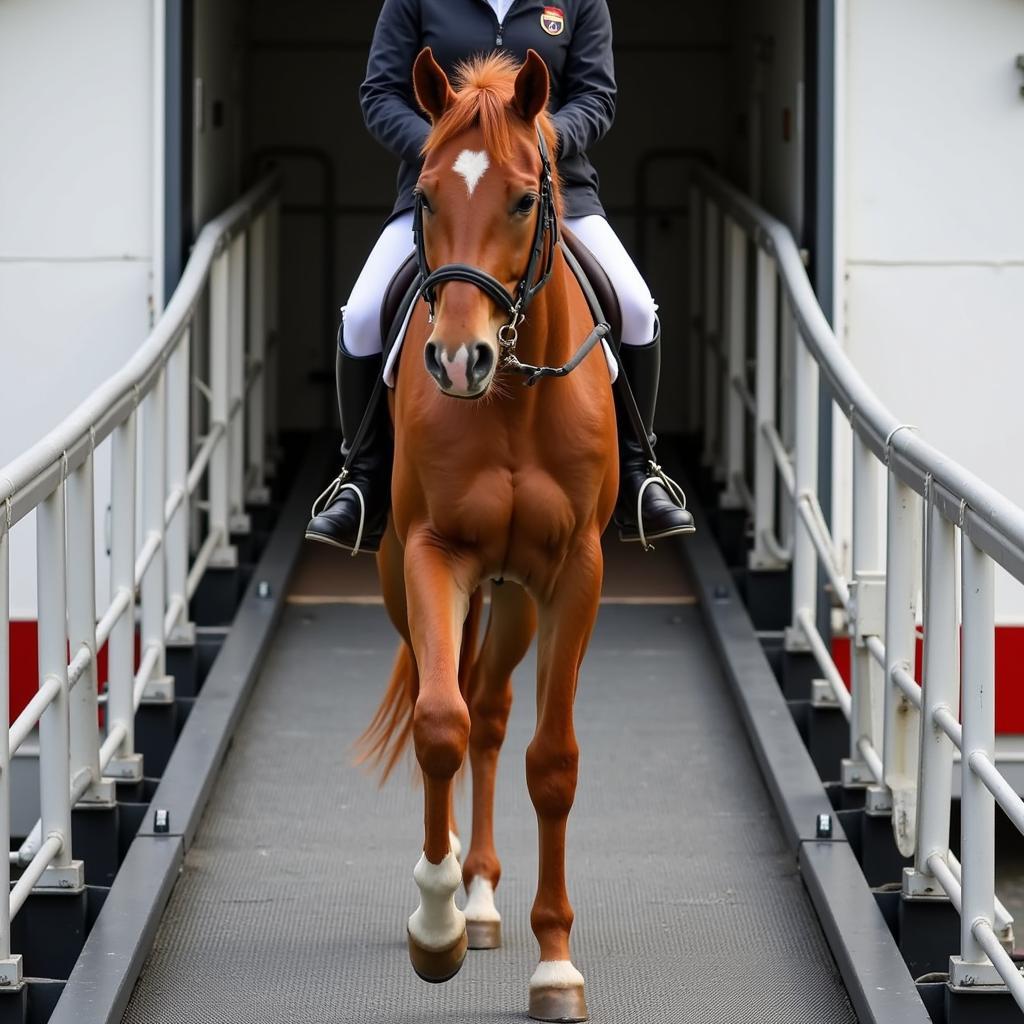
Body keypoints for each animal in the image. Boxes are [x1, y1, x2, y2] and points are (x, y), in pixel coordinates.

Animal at [362, 49, 614, 1024]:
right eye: (429, 194)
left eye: (520, 200)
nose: (456, 359)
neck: (509, 397)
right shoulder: (433, 556)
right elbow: (438, 722)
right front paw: (432, 929)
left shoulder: (575, 575)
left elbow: (555, 761)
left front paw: (557, 964)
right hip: (415, 581)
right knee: (460, 706)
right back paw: (457, 903)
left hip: (516, 600)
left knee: (495, 714)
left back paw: (482, 898)